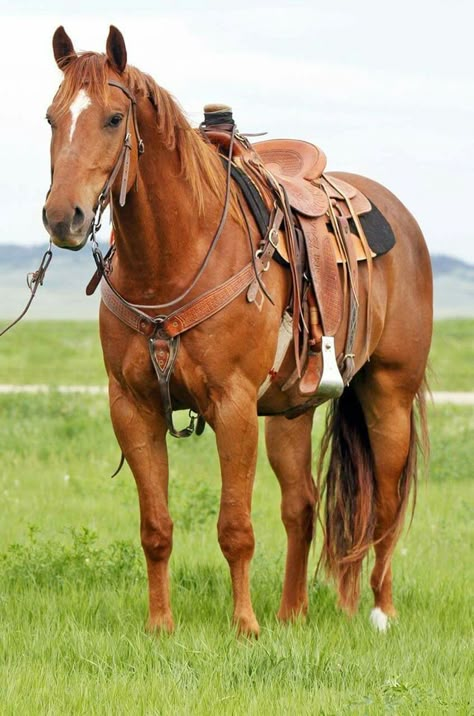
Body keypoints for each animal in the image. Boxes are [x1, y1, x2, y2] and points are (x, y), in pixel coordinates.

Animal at [42, 25, 432, 636]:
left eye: (113, 118)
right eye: (51, 118)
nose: (64, 219)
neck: (174, 257)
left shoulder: (233, 405)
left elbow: (235, 528)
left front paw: (245, 627)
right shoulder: (131, 406)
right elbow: (156, 527)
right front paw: (160, 625)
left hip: (389, 394)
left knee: (385, 505)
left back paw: (378, 612)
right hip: (293, 411)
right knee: (303, 506)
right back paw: (295, 613)